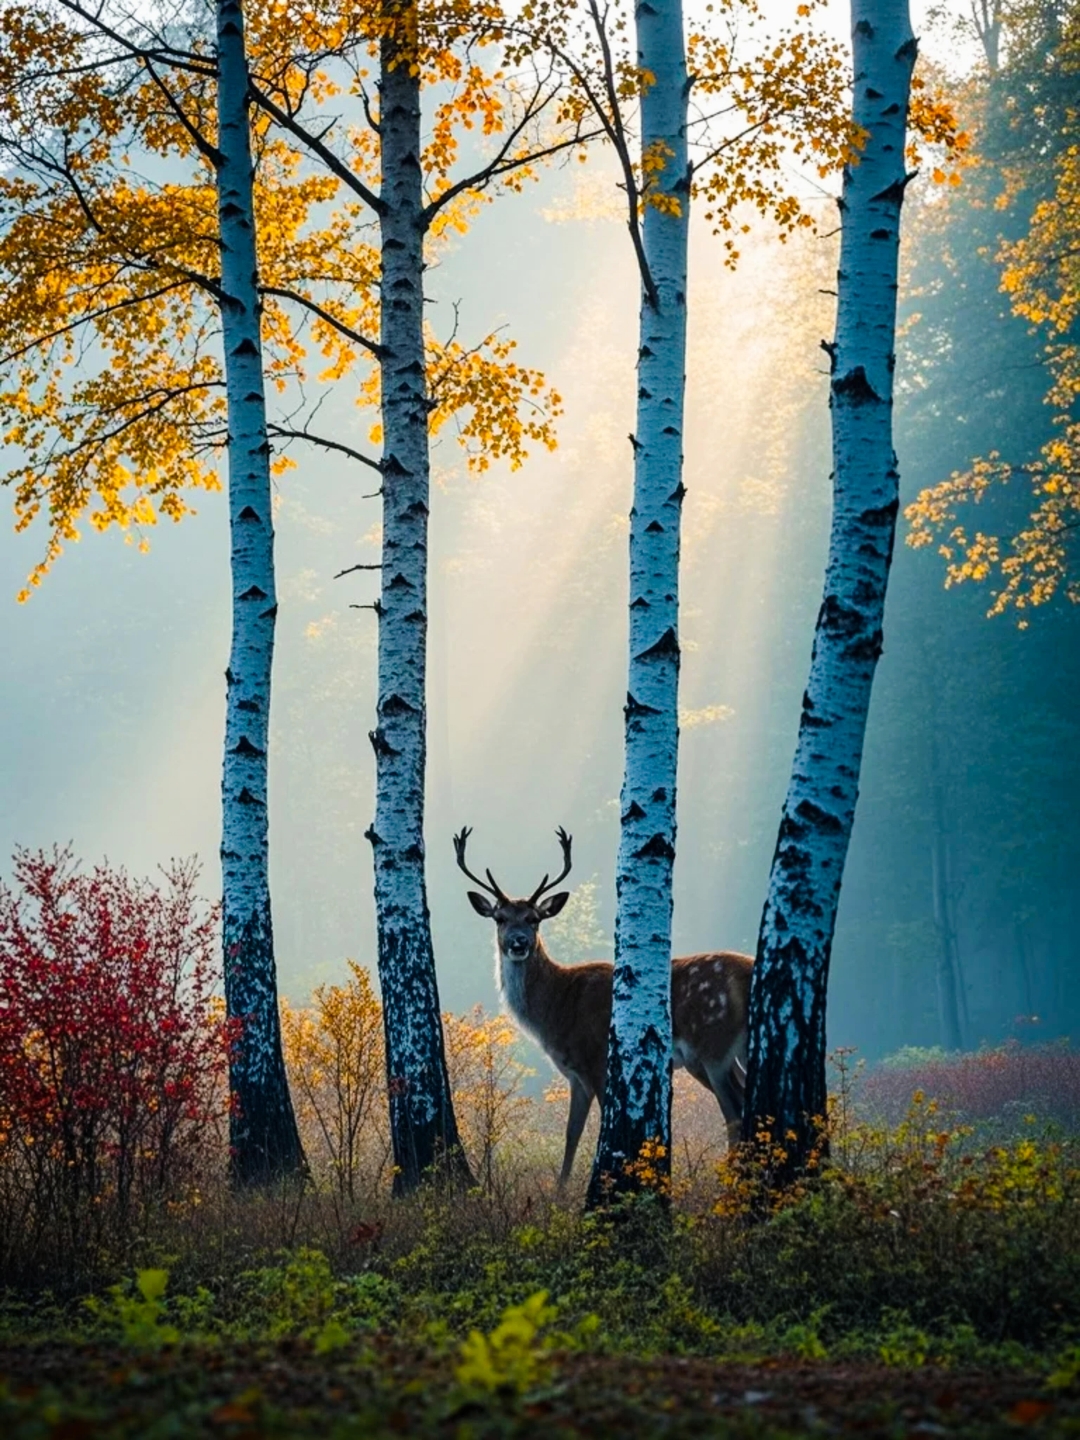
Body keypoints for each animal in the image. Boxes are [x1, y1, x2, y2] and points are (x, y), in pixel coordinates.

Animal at [454, 825, 753, 1188]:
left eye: (534, 918)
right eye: (499, 918)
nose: (518, 943)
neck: (556, 1008)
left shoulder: (597, 1059)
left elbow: (597, 1130)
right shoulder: (574, 1074)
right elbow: (571, 1134)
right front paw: (560, 1191)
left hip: (713, 1045)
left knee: (734, 1110)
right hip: (728, 1053)